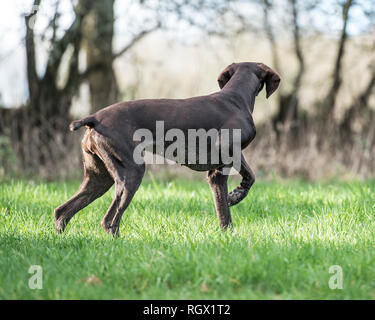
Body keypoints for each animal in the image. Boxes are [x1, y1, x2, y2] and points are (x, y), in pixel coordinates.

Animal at [54, 62, 280, 235]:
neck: (235, 99)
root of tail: (94, 118)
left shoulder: (215, 175)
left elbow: (224, 210)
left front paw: (228, 232)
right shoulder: (227, 155)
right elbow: (250, 177)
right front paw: (237, 195)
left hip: (99, 179)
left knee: (62, 212)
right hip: (131, 174)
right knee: (109, 221)